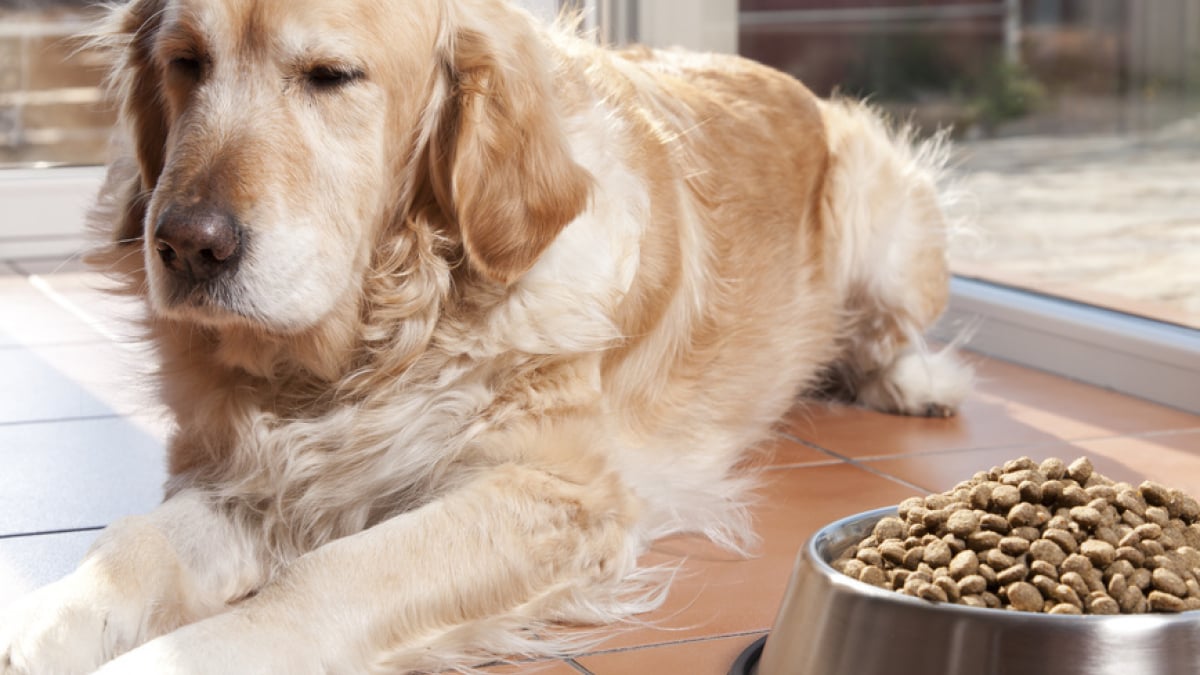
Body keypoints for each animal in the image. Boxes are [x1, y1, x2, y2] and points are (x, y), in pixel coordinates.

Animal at [0, 1, 969, 667]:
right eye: (186, 63)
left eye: (329, 75)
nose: (185, 244)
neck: (372, 345)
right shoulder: (251, 478)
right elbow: (135, 545)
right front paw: (36, 623)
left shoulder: (552, 491)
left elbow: (325, 575)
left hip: (889, 215)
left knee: (891, 330)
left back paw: (913, 382)